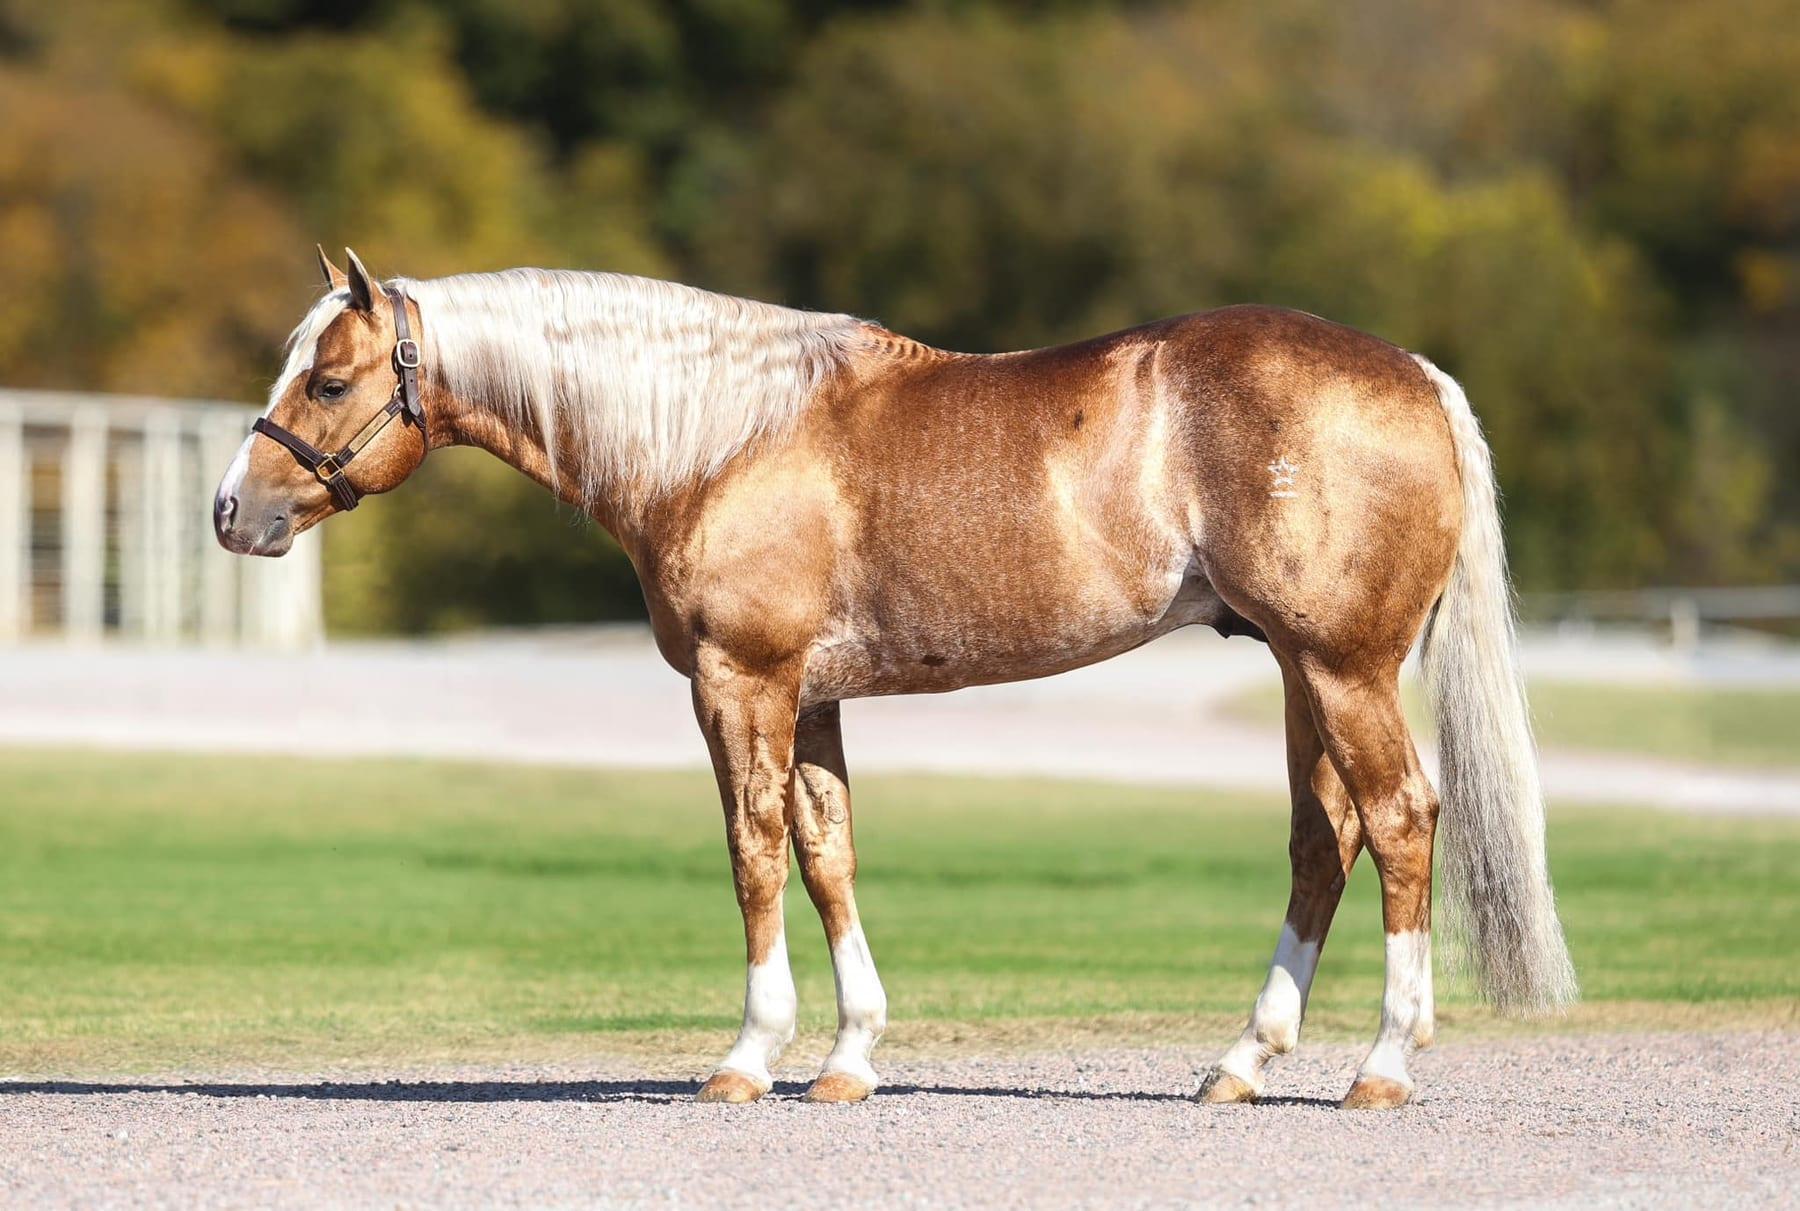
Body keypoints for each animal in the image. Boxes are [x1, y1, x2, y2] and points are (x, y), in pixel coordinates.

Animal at [214, 247, 1576, 1110]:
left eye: (327, 380)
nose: (234, 509)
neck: (721, 436)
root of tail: (1418, 376)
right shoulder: (811, 697)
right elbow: (828, 854)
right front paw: (849, 1056)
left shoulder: (741, 682)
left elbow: (753, 851)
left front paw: (750, 1052)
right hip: (1304, 671)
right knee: (1322, 840)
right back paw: (1242, 1060)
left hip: (1343, 669)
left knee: (1399, 822)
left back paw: (1382, 1065)